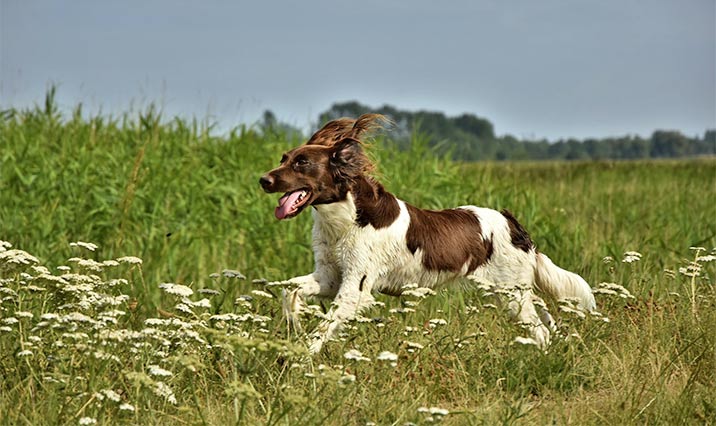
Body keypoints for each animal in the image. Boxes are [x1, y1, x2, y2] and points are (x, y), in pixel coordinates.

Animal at [260, 114, 596, 352]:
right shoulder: (330, 276)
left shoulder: (355, 288)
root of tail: (514, 224)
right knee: (545, 318)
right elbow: (289, 291)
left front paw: (299, 359)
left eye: (302, 162)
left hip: (511, 293)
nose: (263, 180)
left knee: (540, 331)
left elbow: (320, 331)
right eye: (283, 159)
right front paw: (294, 322)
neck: (346, 218)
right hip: (513, 292)